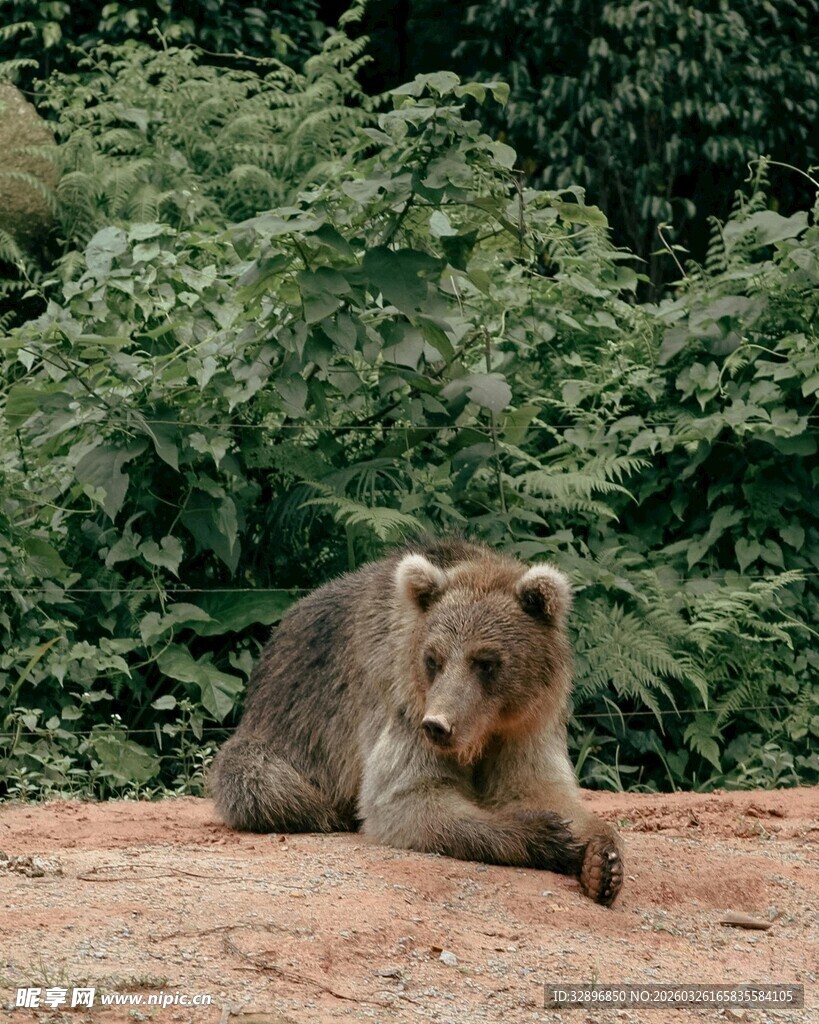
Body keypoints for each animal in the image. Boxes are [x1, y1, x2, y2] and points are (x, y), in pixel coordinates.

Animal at [208, 537, 623, 905]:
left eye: (486, 662)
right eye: (433, 659)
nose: (438, 725)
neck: (485, 730)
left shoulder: (526, 725)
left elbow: (539, 789)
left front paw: (602, 861)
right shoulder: (401, 703)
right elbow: (408, 798)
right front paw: (545, 834)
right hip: (281, 733)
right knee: (269, 786)